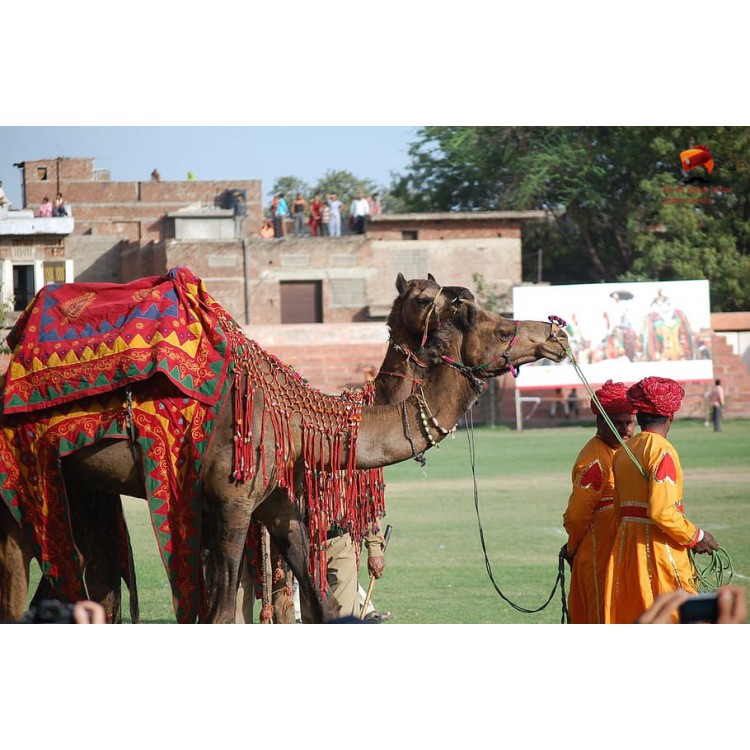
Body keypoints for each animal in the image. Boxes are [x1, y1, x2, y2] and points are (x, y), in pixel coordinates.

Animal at [0, 274, 568, 624]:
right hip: (18, 482)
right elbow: (222, 614)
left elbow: (323, 604)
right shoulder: (230, 503)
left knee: (89, 580)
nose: (557, 332)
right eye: (501, 327)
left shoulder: (276, 504)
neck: (296, 419)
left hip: (78, 485)